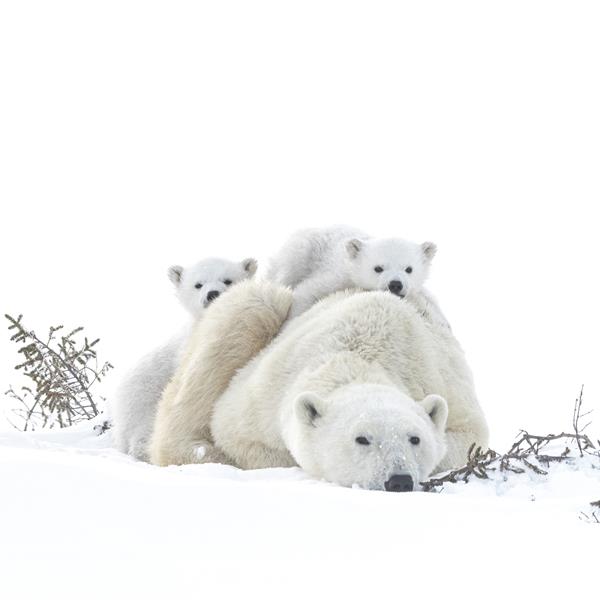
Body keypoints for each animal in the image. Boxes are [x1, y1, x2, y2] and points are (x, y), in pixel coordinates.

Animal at [149, 278, 488, 490]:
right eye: (362, 439)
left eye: (414, 438)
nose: (399, 480)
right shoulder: (267, 389)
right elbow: (232, 427)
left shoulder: (434, 372)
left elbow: (468, 436)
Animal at [268, 224, 446, 324]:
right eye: (378, 268)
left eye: (409, 269)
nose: (395, 284)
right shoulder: (338, 275)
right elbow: (307, 292)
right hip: (302, 251)